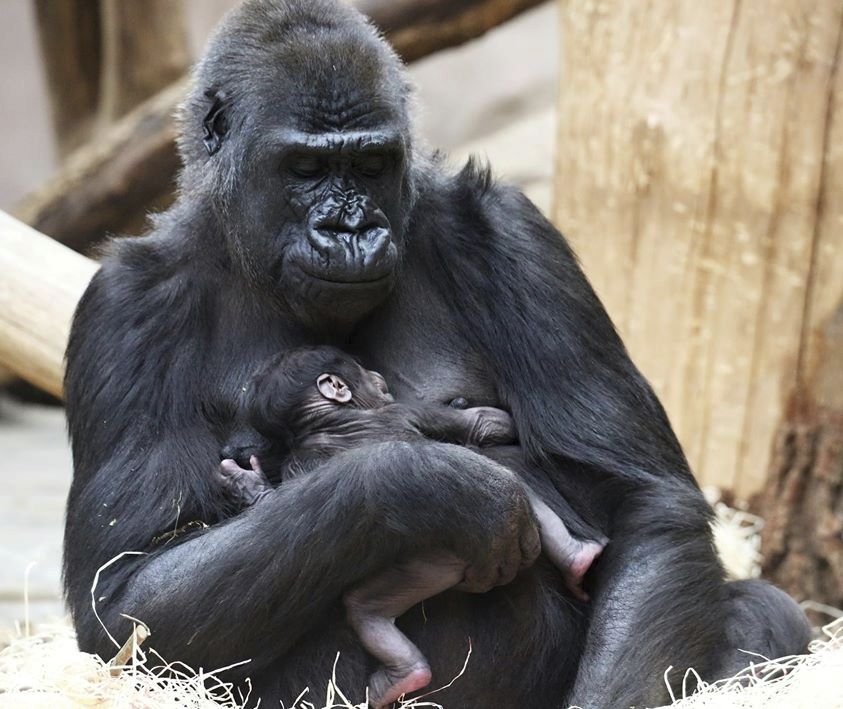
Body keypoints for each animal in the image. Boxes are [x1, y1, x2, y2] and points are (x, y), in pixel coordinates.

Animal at [216, 346, 600, 704]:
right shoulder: (407, 410)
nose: (377, 376)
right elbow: (485, 423)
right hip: (436, 565)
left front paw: (248, 484)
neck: (325, 421)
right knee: (366, 609)